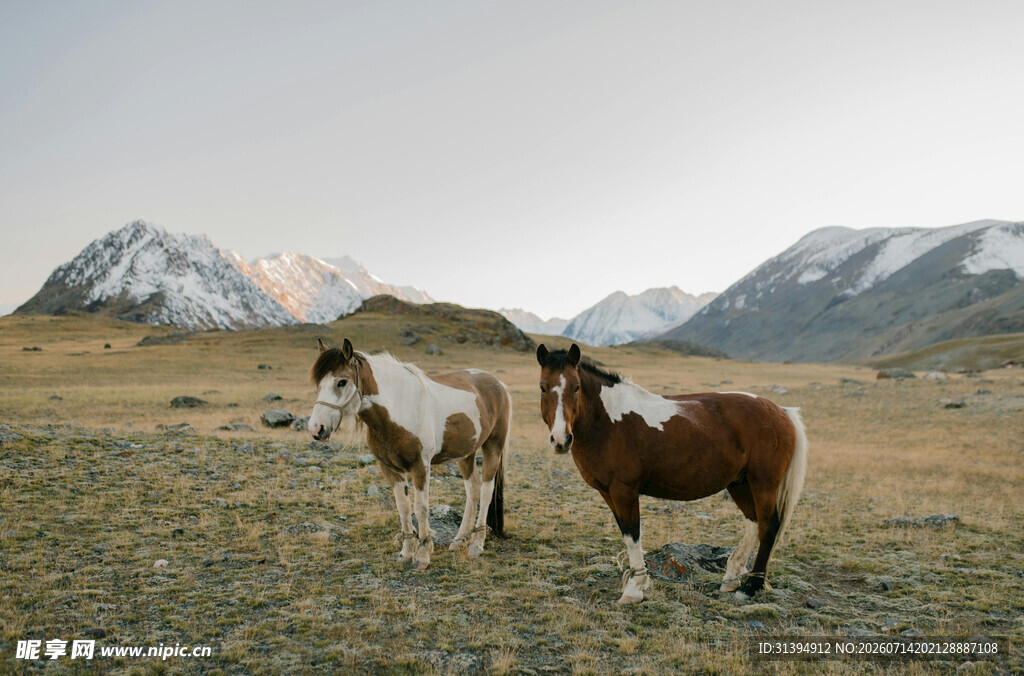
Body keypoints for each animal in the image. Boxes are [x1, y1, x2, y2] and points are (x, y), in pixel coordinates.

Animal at [307, 338, 510, 569]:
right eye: (318, 384)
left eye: (341, 382)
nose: (316, 428)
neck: (398, 409)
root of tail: (498, 384)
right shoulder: (390, 468)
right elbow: (403, 508)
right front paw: (406, 553)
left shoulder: (420, 466)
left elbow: (420, 508)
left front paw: (422, 554)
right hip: (465, 453)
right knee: (473, 489)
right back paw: (459, 541)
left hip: (493, 447)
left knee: (486, 491)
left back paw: (476, 544)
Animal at [535, 343, 807, 604]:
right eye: (543, 388)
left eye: (577, 387)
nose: (561, 440)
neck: (607, 421)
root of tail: (780, 410)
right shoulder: (607, 492)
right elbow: (626, 532)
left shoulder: (624, 491)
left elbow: (633, 534)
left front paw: (634, 589)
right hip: (739, 484)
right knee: (754, 523)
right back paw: (731, 579)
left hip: (763, 483)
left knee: (768, 527)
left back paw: (751, 587)